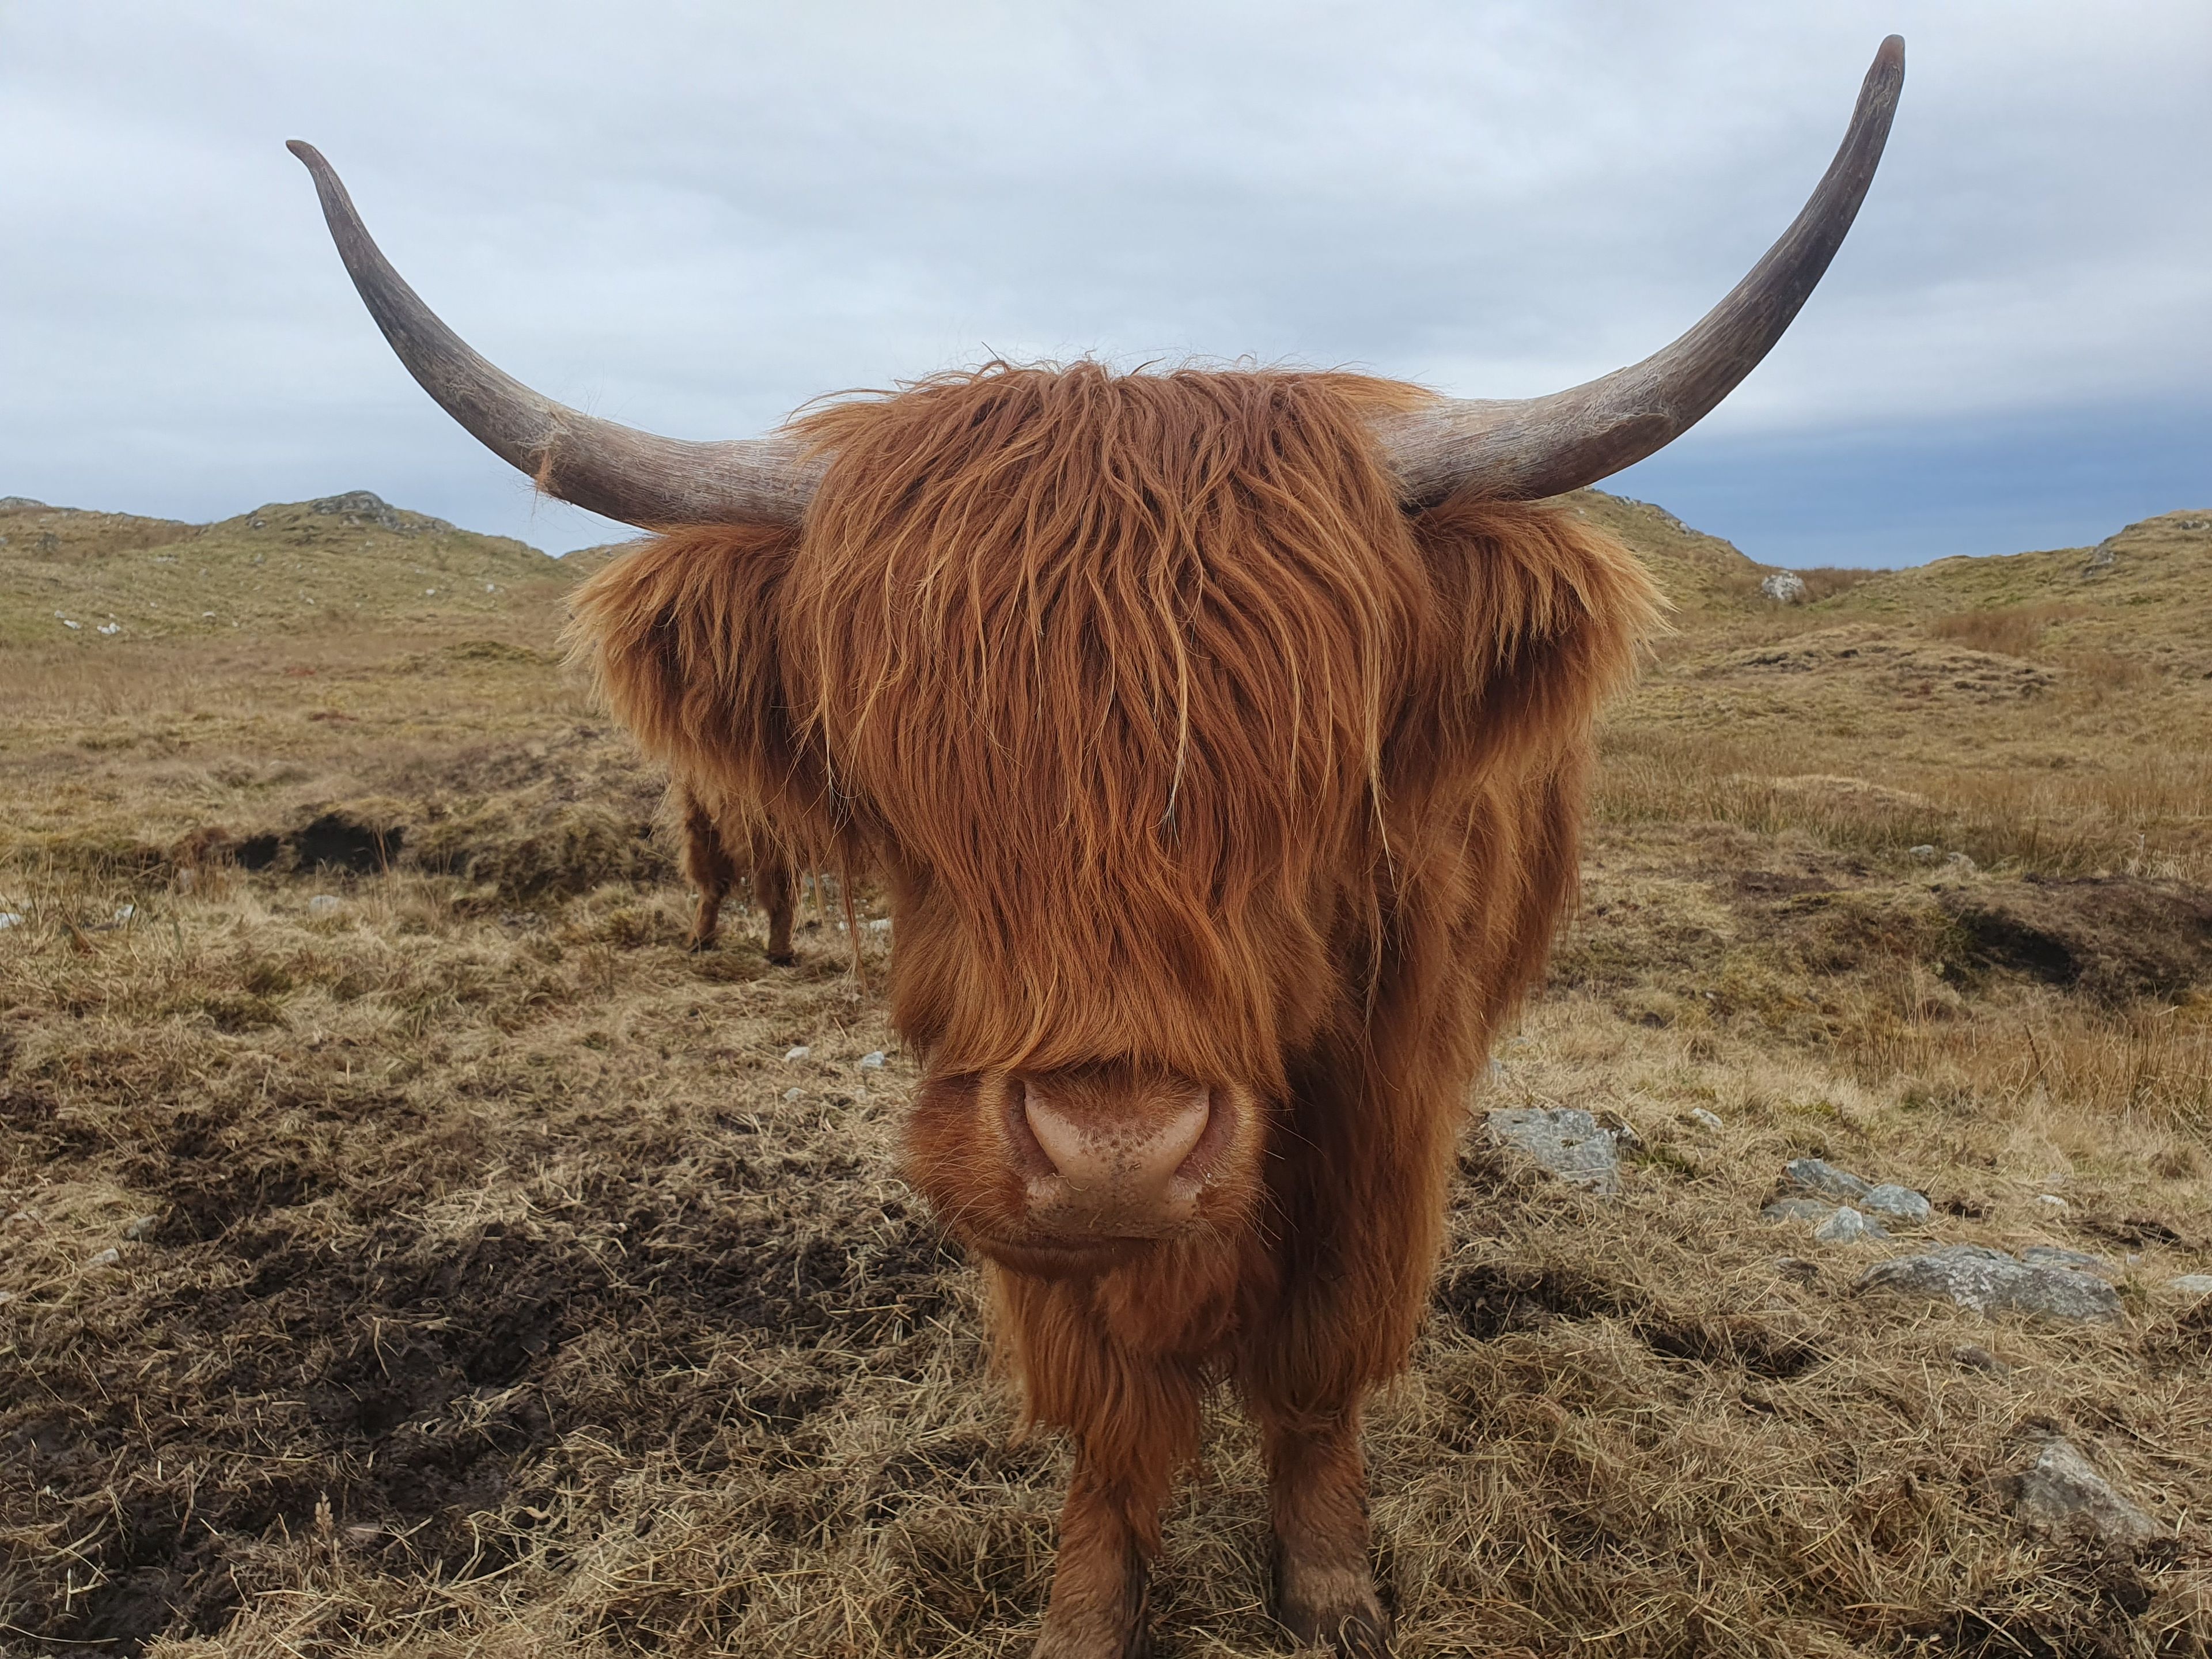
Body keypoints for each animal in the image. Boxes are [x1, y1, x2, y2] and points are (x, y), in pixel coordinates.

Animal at [290, 38, 1901, 1656]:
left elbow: (1319, 1362)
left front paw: (1328, 1582)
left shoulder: (1382, 1113)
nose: (1114, 1155)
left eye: (1322, 770)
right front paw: (1088, 1605)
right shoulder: (1012, 1163)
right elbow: (1110, 1413)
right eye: (900, 774)